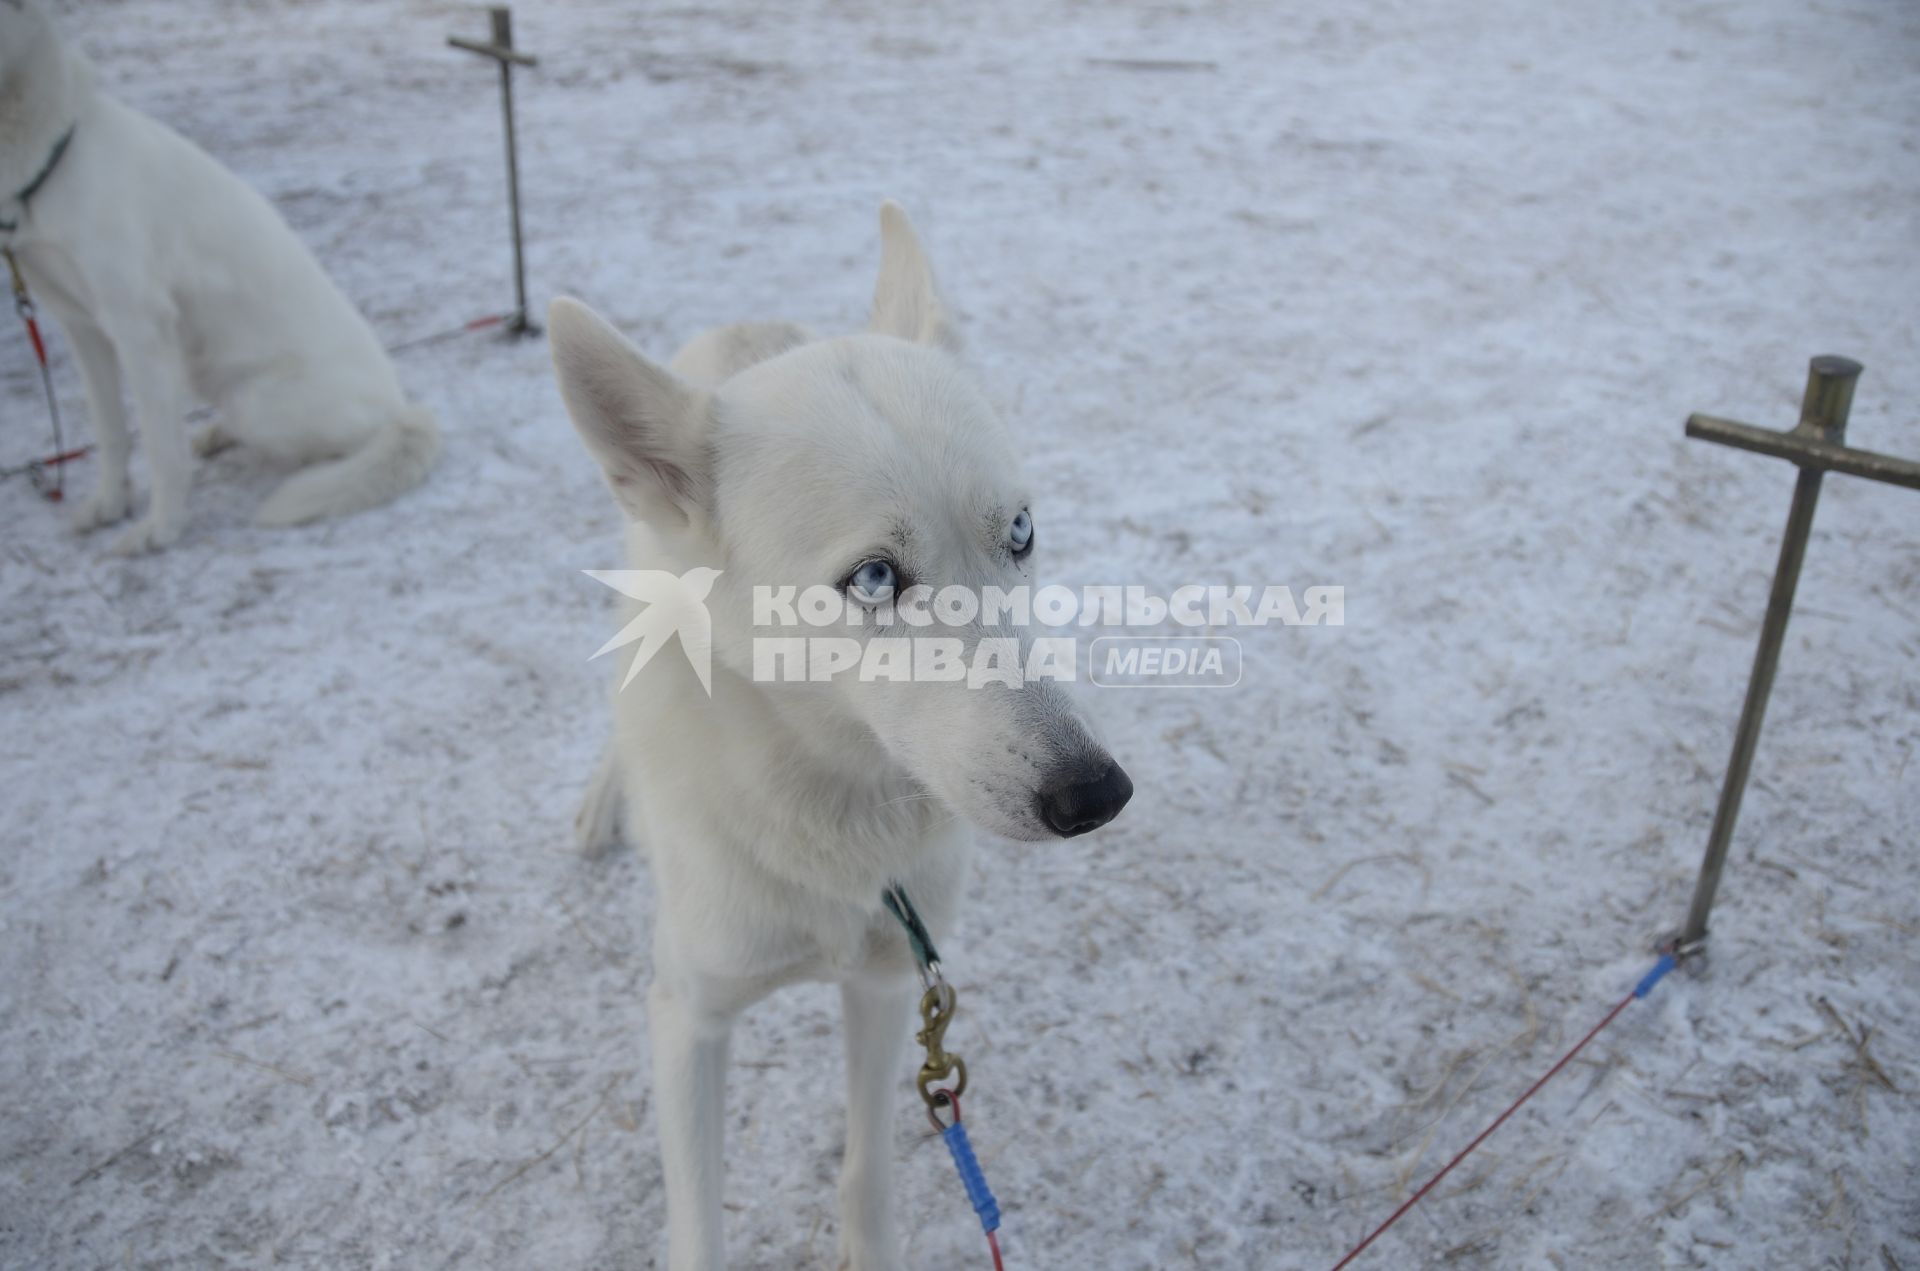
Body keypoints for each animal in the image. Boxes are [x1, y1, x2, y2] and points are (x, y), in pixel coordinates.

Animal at [0, 1, 439, 556]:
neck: (49, 158)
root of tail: (397, 401)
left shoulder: (138, 327)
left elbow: (161, 450)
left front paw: (160, 529)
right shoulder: (81, 327)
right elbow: (112, 432)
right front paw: (109, 505)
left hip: (261, 402)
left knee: (361, 443)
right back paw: (219, 434)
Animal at [549, 204, 1128, 1267]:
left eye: (1020, 533)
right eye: (874, 578)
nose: (1096, 793)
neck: (831, 809)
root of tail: (752, 329)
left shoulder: (893, 985)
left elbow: (867, 1173)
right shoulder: (686, 1015)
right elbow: (698, 1227)